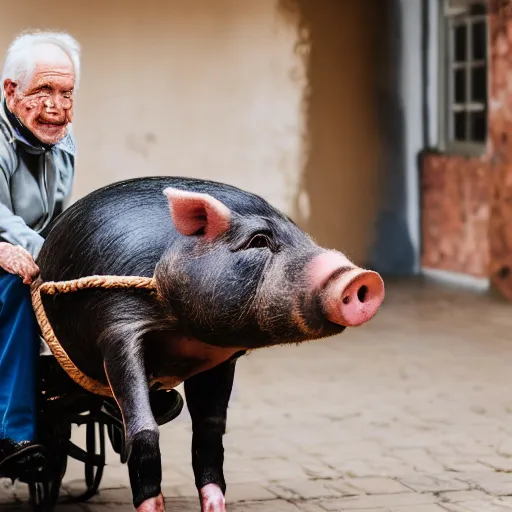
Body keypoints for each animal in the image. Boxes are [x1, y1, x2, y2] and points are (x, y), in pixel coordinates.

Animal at [37, 177, 384, 512]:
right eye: (259, 240)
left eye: (305, 237)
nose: (362, 277)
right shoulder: (117, 325)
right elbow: (144, 430)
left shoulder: (219, 359)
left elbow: (209, 433)